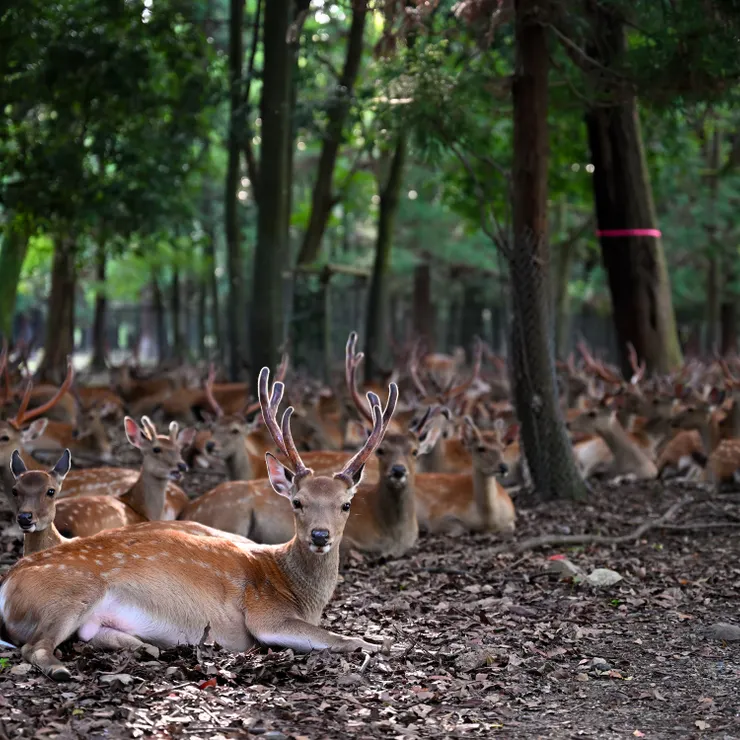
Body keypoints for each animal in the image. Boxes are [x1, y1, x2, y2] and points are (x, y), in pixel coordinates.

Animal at [0, 364, 398, 684]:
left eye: (346, 504)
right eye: (297, 502)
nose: (319, 535)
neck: (297, 592)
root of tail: (6, 585)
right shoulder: (267, 615)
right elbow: (342, 638)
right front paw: (381, 642)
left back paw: (148, 647)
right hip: (68, 595)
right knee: (34, 648)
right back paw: (62, 669)